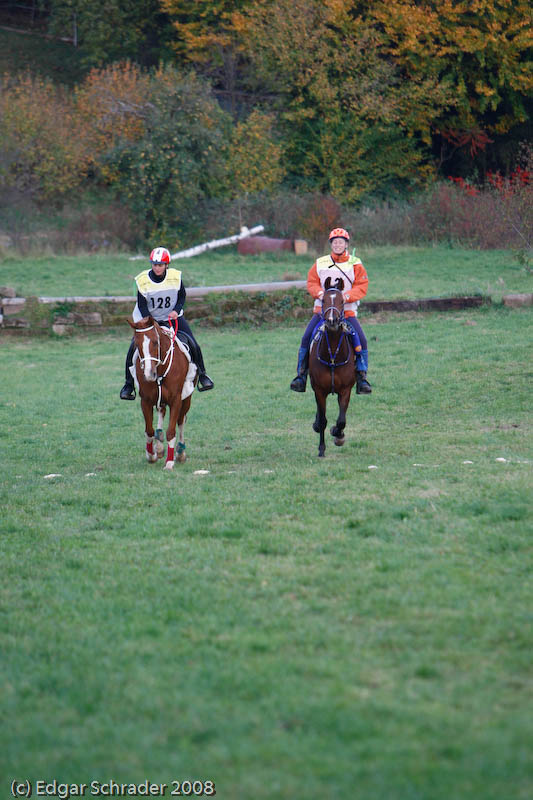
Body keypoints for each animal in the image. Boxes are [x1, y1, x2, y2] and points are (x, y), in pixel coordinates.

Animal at [127, 316, 197, 468]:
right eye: (136, 344)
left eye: (155, 342)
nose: (149, 374)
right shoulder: (146, 400)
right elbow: (149, 430)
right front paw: (151, 455)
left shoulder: (176, 399)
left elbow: (171, 431)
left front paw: (169, 463)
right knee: (161, 412)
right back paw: (159, 446)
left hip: (186, 399)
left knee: (181, 420)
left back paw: (180, 452)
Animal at [308, 290, 358, 456]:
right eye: (323, 300)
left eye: (342, 301)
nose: (331, 320)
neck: (333, 356)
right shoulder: (319, 390)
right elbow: (323, 420)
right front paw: (321, 449)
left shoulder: (346, 390)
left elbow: (341, 420)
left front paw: (338, 435)